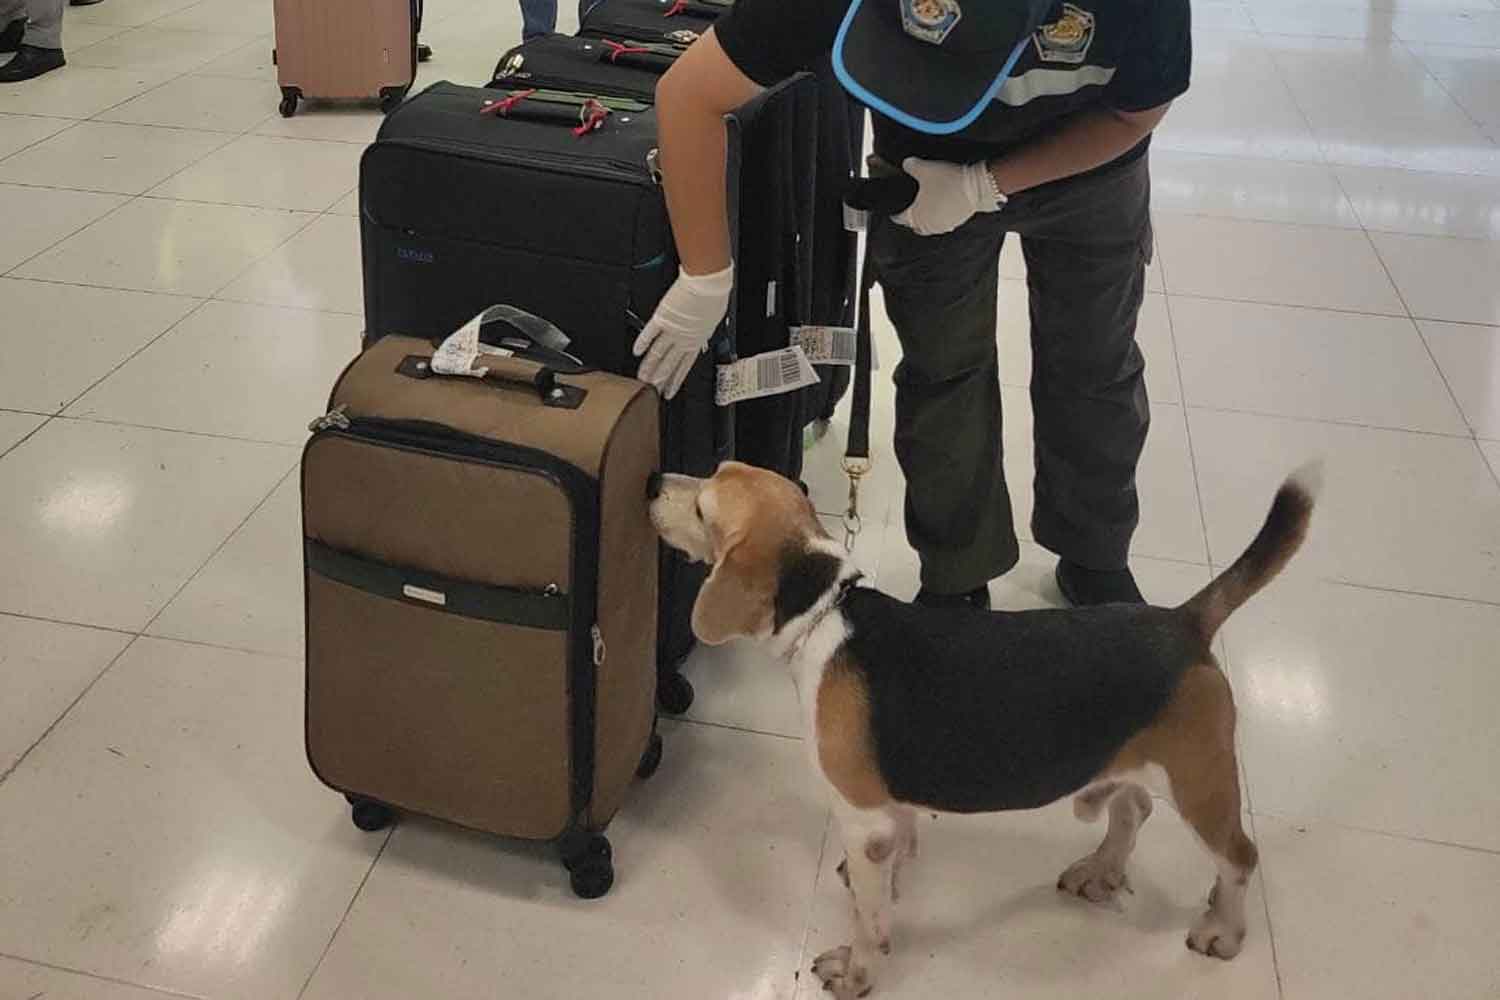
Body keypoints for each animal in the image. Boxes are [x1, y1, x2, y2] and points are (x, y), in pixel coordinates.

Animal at [651, 461, 1320, 1000]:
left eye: (704, 508)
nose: (655, 480)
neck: (823, 613)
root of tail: (1184, 622)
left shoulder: (862, 819)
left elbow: (869, 919)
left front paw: (857, 970)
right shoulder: (886, 814)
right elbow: (898, 850)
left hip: (1199, 781)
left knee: (1239, 858)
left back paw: (1221, 931)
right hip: (1130, 758)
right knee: (1133, 810)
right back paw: (1100, 869)